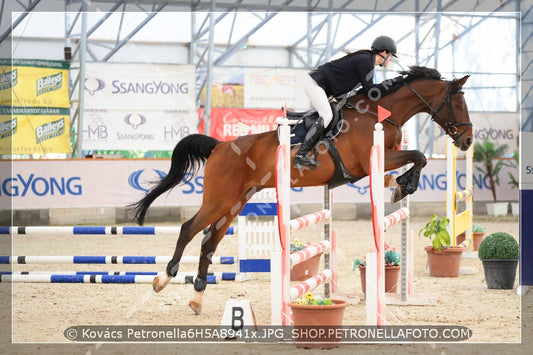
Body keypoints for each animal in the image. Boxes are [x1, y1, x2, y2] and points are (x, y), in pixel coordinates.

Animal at [131, 66, 472, 314]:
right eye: (458, 104)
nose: (467, 141)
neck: (376, 113)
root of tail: (220, 146)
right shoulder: (372, 161)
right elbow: (420, 155)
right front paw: (406, 185)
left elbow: (415, 160)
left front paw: (402, 186)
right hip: (219, 200)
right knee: (188, 229)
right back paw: (163, 279)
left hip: (234, 203)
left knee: (208, 243)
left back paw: (197, 298)